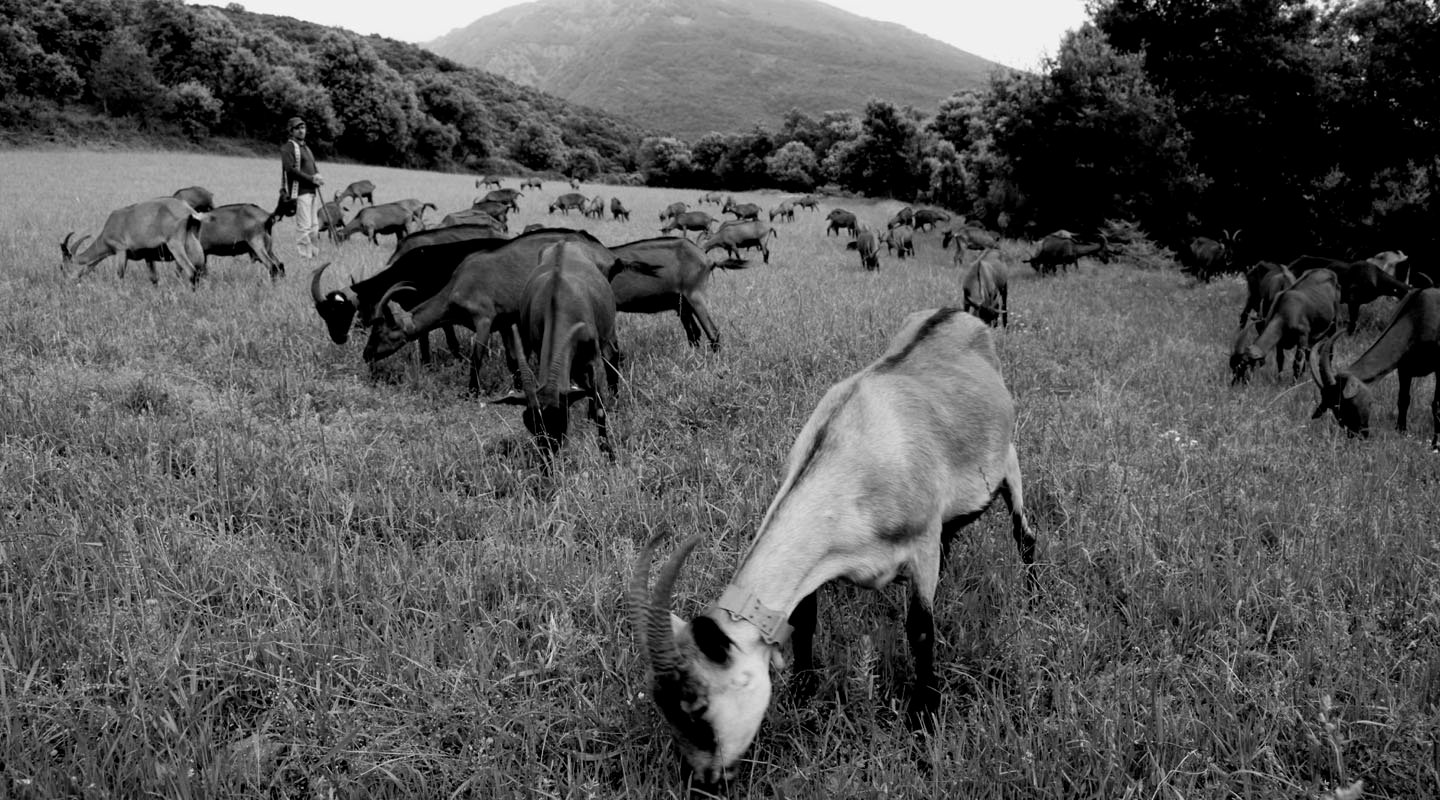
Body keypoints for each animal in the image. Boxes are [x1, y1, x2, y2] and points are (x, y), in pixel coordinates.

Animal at [60, 197, 207, 287]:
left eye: (62, 267)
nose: (65, 283)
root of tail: (188, 211)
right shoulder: (148, 257)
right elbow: (154, 279)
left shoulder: (120, 250)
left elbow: (119, 275)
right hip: (194, 245)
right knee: (199, 270)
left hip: (175, 245)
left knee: (191, 271)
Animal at [489, 240, 619, 457]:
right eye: (529, 423)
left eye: (560, 419)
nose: (547, 458)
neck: (559, 298)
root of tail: (563, 242)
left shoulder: (592, 356)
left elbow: (599, 403)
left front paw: (608, 453)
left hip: (608, 334)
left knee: (612, 357)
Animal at [630, 306, 1036, 788]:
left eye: (697, 706)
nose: (704, 780)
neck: (850, 454)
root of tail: (956, 312)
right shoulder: (824, 561)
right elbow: (805, 618)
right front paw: (804, 689)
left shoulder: (920, 543)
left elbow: (920, 628)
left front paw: (924, 717)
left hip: (1008, 461)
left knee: (1024, 535)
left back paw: (1033, 593)